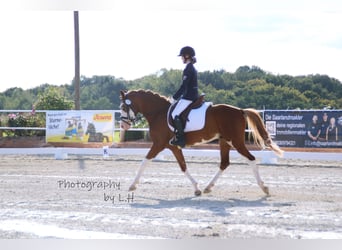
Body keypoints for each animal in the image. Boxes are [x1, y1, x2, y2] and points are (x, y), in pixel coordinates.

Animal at [120, 91, 284, 196]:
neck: (158, 112)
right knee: (224, 163)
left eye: (123, 107)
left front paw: (132, 185)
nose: (123, 126)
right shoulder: (173, 146)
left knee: (251, 159)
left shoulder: (159, 144)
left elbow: (144, 162)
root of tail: (240, 110)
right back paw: (208, 187)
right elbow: (183, 166)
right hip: (225, 141)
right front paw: (196, 188)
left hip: (236, 142)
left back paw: (264, 188)